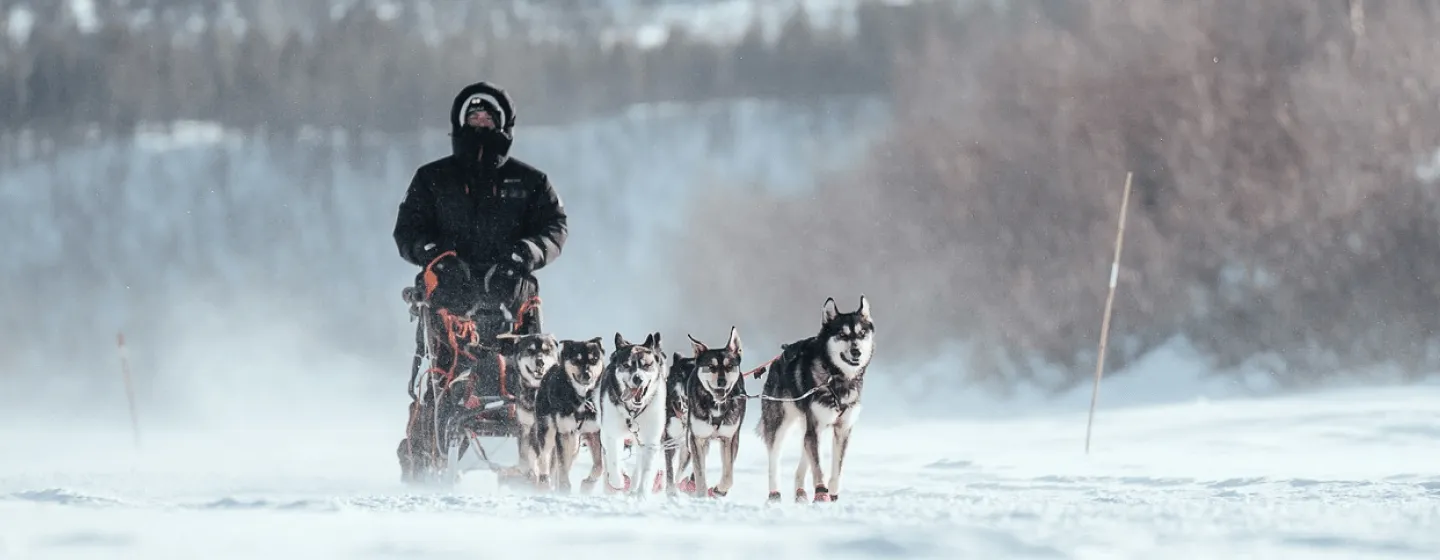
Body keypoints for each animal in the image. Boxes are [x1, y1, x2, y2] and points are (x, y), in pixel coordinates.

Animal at [532, 335, 604, 489]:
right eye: (576, 360)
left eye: (594, 359)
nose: (587, 374)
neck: (579, 399)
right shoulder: (563, 433)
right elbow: (562, 466)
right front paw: (565, 487)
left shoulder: (593, 432)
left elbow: (599, 466)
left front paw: (588, 483)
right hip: (548, 430)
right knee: (544, 457)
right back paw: (544, 481)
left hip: (574, 443)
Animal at [593, 329, 665, 495]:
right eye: (626, 365)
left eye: (647, 365)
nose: (638, 378)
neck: (633, 413)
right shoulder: (612, 435)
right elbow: (614, 459)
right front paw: (617, 481)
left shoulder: (651, 440)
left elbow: (647, 470)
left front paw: (642, 494)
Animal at [685, 326, 754, 498]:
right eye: (711, 366)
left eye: (729, 366)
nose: (721, 381)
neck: (716, 405)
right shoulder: (697, 439)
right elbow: (700, 473)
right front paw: (701, 496)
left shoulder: (729, 438)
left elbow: (729, 474)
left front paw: (720, 489)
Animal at [760, 296, 869, 500]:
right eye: (842, 334)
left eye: (862, 333)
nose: (856, 351)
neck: (837, 378)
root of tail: (777, 361)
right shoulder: (816, 428)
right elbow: (819, 468)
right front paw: (820, 494)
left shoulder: (843, 429)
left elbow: (836, 471)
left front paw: (832, 496)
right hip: (780, 425)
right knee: (774, 460)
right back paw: (774, 494)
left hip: (810, 426)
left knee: (803, 458)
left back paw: (800, 492)